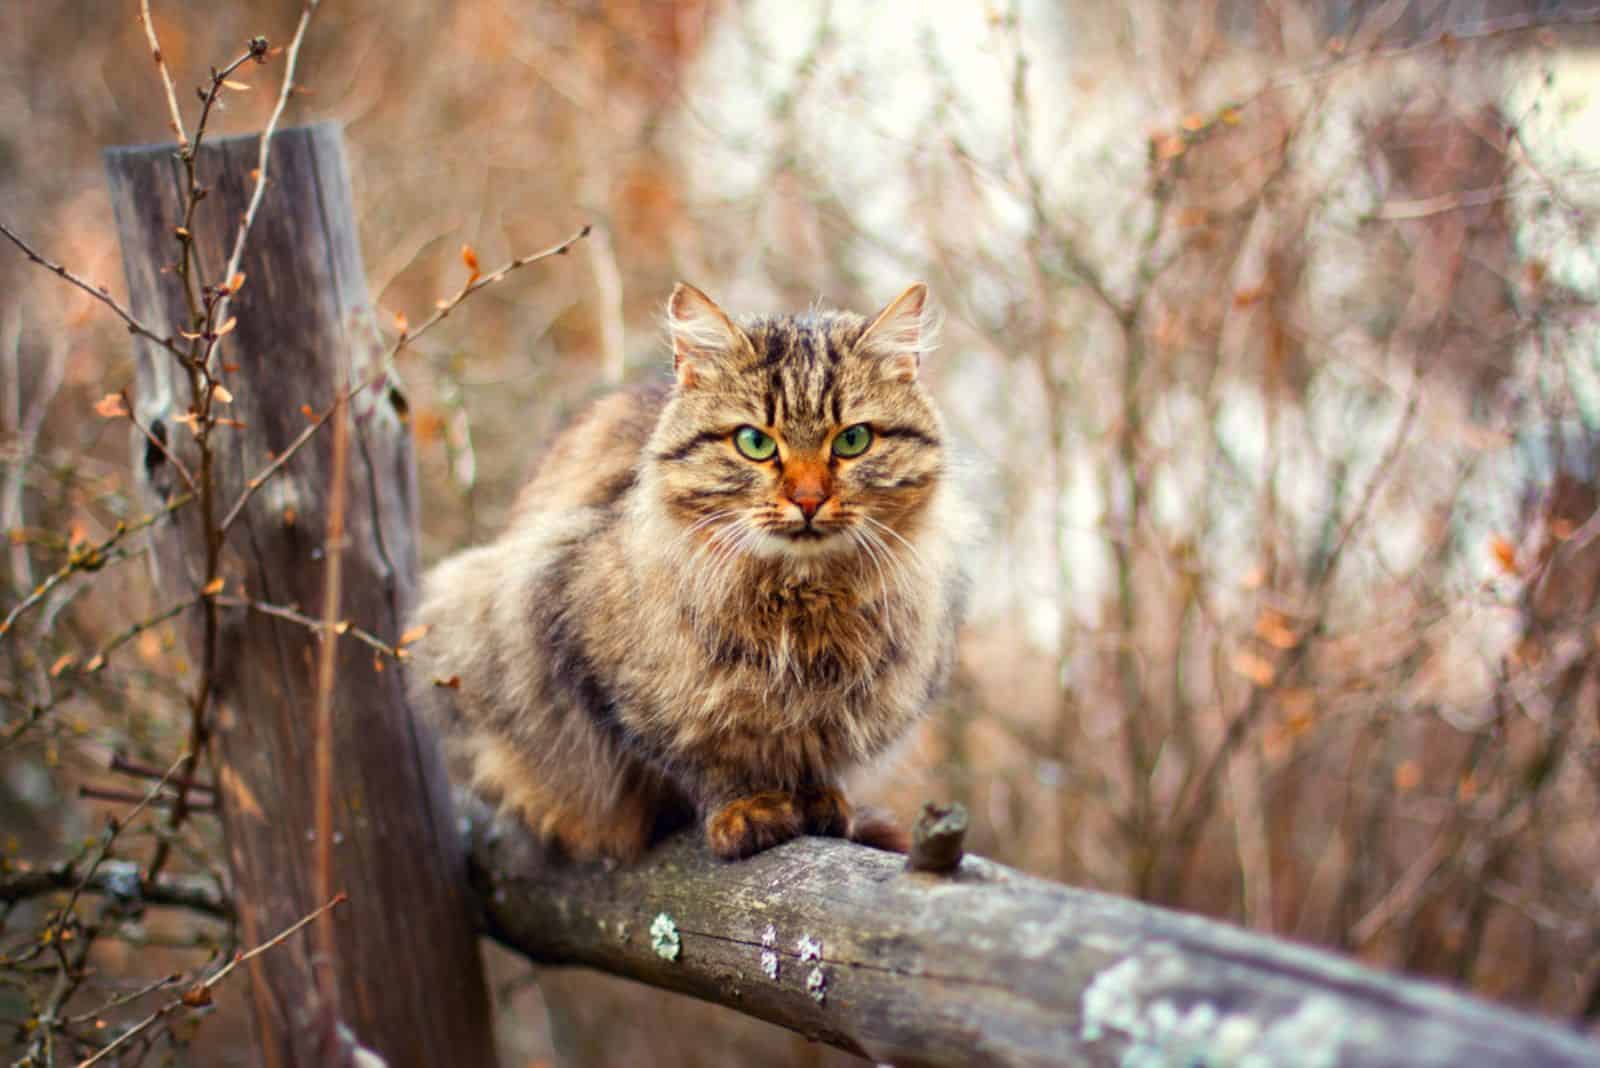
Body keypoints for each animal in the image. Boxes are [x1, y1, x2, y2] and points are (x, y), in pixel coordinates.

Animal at [406, 281, 966, 856]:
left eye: (853, 440)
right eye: (754, 443)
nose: (808, 500)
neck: (800, 604)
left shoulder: (848, 709)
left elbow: (814, 756)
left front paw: (819, 801)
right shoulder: (605, 668)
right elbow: (702, 758)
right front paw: (747, 808)